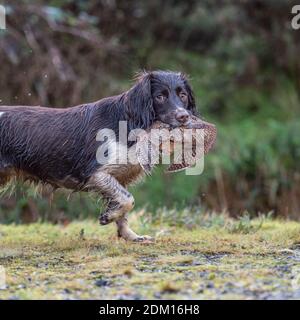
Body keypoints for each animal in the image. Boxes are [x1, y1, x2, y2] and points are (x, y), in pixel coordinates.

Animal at [0, 70, 216, 242]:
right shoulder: (96, 174)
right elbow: (128, 200)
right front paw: (107, 217)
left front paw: (131, 236)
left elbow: (123, 207)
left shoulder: (121, 177)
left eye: (183, 95)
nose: (183, 116)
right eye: (160, 97)